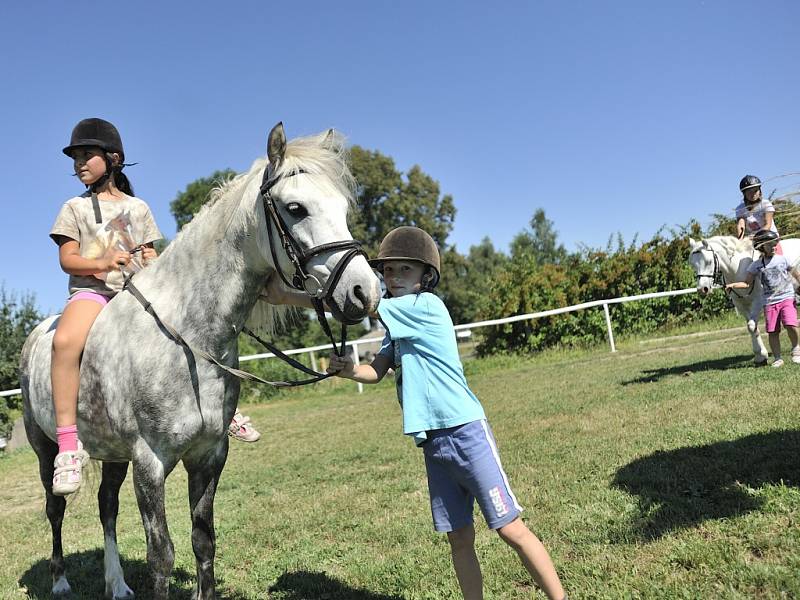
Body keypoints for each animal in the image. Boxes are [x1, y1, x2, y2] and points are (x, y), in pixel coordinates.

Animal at [18, 123, 382, 600]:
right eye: (295, 208)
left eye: (343, 206)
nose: (364, 292)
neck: (186, 337)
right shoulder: (150, 462)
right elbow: (161, 556)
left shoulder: (209, 455)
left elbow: (203, 540)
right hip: (45, 448)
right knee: (55, 508)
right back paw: (60, 580)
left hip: (113, 453)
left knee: (106, 506)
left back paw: (117, 585)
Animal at [688, 236, 800, 364]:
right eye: (692, 264)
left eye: (709, 262)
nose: (702, 289)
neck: (738, 269)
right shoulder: (741, 305)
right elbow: (751, 327)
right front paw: (760, 356)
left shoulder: (758, 302)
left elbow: (752, 326)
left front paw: (761, 354)